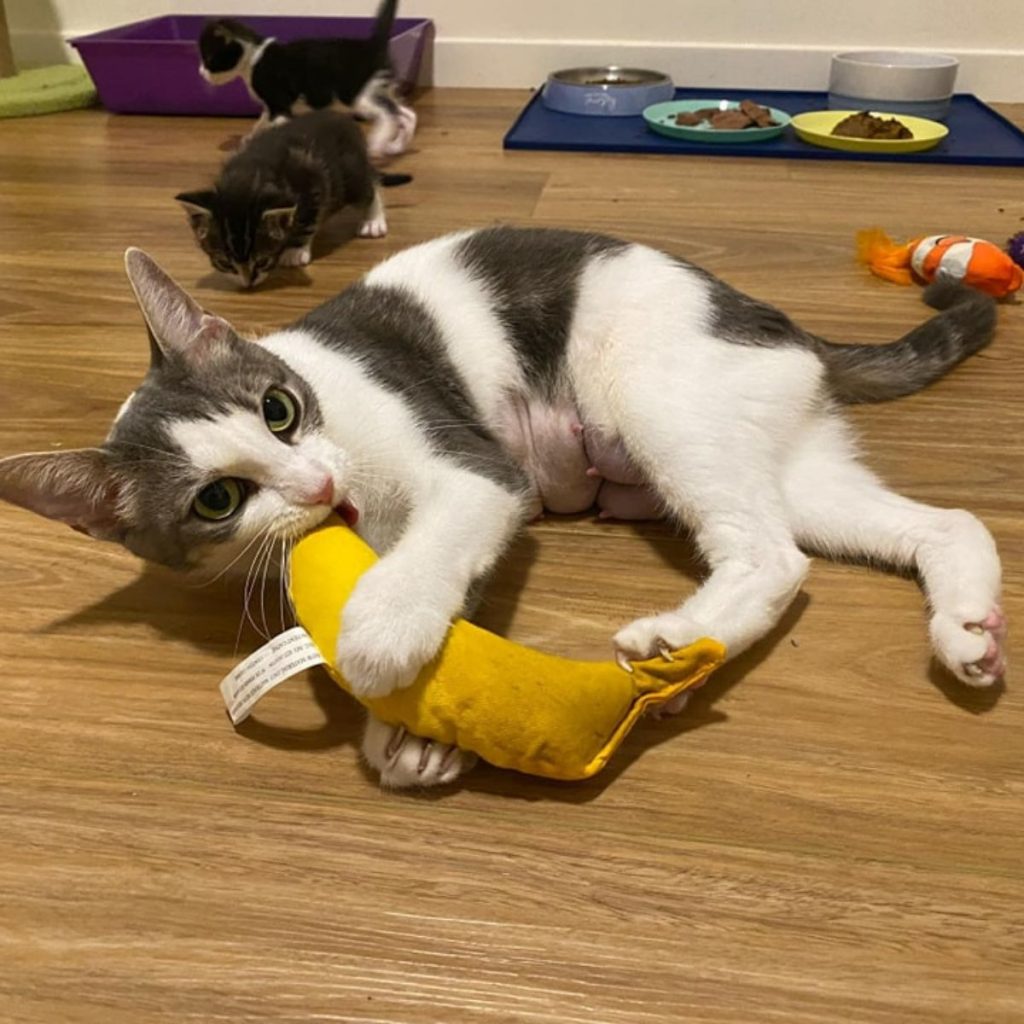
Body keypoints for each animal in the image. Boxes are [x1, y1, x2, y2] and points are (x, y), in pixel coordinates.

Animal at [0, 230, 1007, 790]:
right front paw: (410, 734)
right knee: (937, 522)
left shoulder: (480, 472)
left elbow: (440, 549)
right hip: (785, 452)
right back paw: (965, 628)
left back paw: (677, 638)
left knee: (772, 553)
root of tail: (785, 327)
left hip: (658, 397)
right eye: (217, 501)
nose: (317, 489)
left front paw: (386, 638)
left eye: (278, 410)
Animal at [176, 110, 407, 288]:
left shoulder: (313, 184)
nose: (248, 283)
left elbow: (307, 220)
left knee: (370, 186)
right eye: (225, 263)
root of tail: (346, 120)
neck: (248, 177)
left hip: (350, 176)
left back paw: (373, 221)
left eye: (262, 261)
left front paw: (295, 250)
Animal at [197, 0, 413, 158]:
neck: (253, 57)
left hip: (358, 95)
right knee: (406, 114)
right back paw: (396, 145)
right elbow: (260, 123)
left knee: (389, 113)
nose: (200, 72)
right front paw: (249, 139)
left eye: (208, 59)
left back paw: (378, 143)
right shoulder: (271, 107)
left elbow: (278, 127)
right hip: (381, 89)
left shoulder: (280, 105)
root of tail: (373, 44)